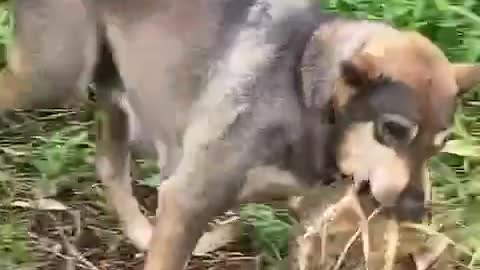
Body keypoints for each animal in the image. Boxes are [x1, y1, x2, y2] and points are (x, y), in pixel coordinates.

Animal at [3, 0, 480, 270]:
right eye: (393, 130)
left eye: (439, 146)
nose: (416, 210)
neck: (303, 91)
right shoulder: (190, 198)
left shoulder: (311, 224)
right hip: (53, 76)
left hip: (113, 84)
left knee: (109, 164)